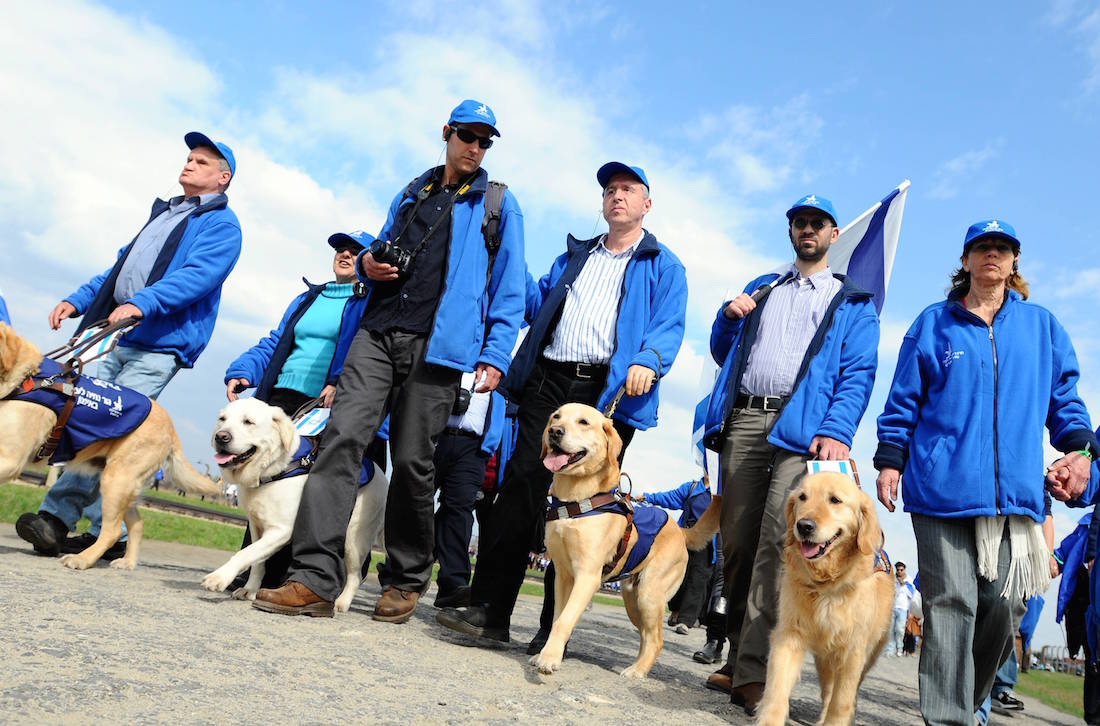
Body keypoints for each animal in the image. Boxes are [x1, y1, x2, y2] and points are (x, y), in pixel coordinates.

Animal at [200, 396, 389, 611]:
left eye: (248, 422)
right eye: (222, 419)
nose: (221, 437)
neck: (271, 471)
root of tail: (382, 475)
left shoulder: (282, 530)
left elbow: (245, 553)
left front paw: (219, 577)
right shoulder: (257, 526)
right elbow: (256, 561)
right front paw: (250, 590)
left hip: (355, 539)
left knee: (355, 575)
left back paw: (341, 602)